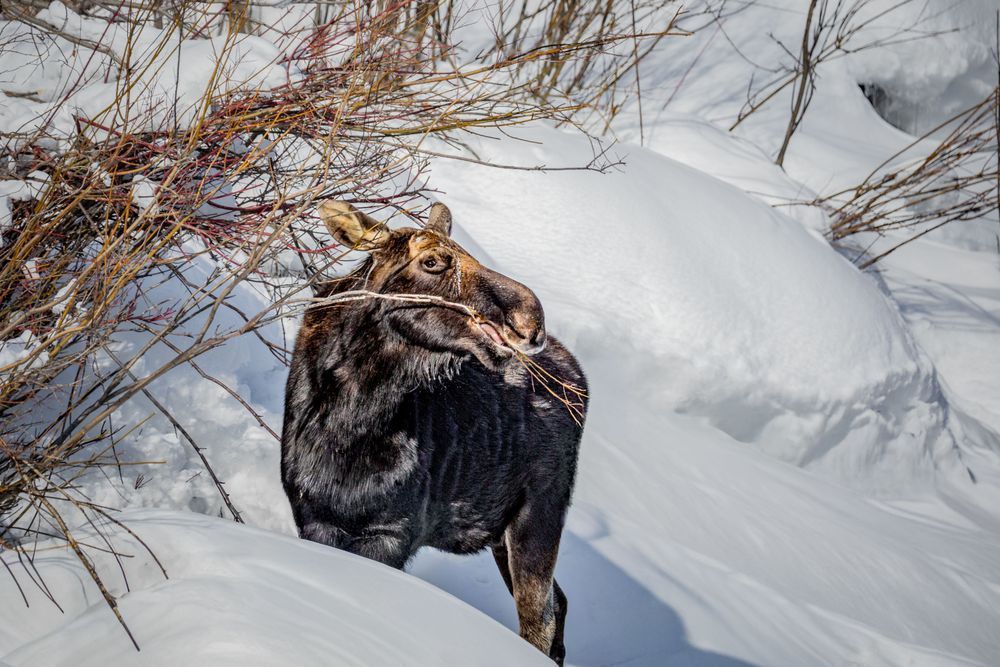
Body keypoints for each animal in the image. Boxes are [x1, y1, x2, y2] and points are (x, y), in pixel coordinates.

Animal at [281, 200, 588, 664]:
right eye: (433, 262)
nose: (532, 320)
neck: (348, 423)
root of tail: (578, 378)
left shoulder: (392, 533)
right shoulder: (315, 519)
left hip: (539, 517)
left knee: (540, 620)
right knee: (561, 603)